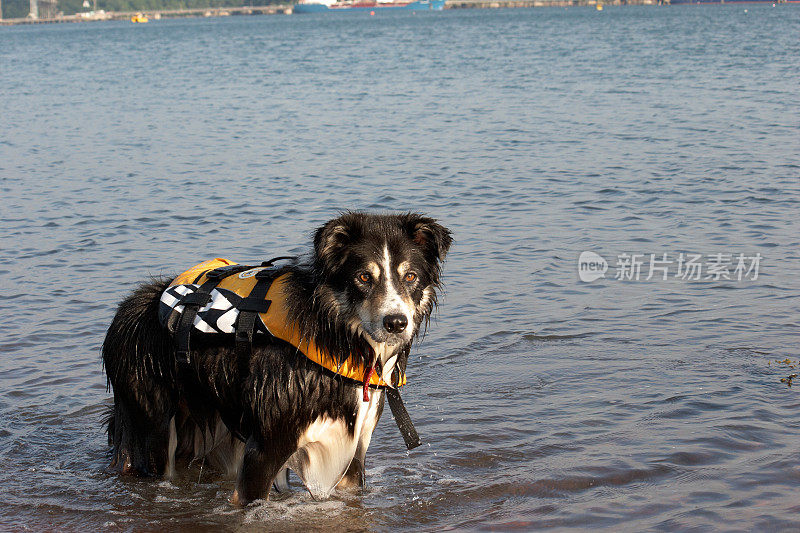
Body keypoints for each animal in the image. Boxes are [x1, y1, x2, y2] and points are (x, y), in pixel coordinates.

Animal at [101, 211, 450, 502]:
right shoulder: (264, 450)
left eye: (410, 277)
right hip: (155, 430)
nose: (396, 323)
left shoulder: (353, 454)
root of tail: (127, 307)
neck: (334, 337)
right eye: (364, 277)